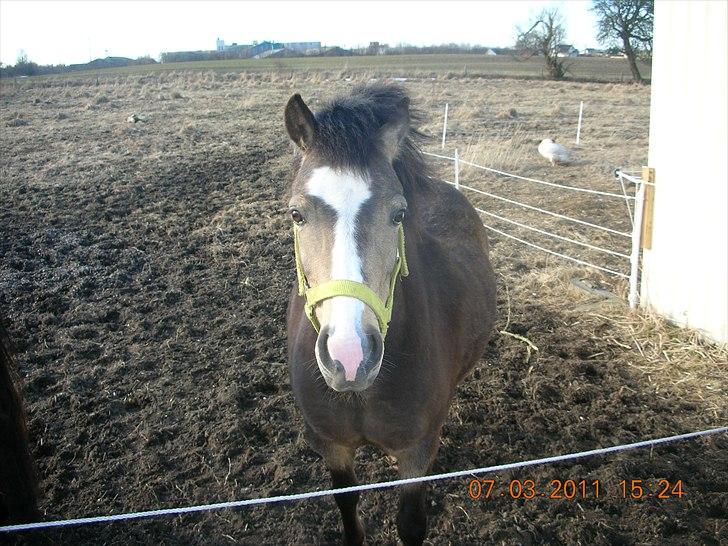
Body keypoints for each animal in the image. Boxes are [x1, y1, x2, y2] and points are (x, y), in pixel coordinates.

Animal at [284, 84, 496, 545]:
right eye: (296, 214)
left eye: (398, 213)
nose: (349, 356)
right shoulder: (333, 445)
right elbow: (347, 505)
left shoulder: (415, 452)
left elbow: (411, 522)